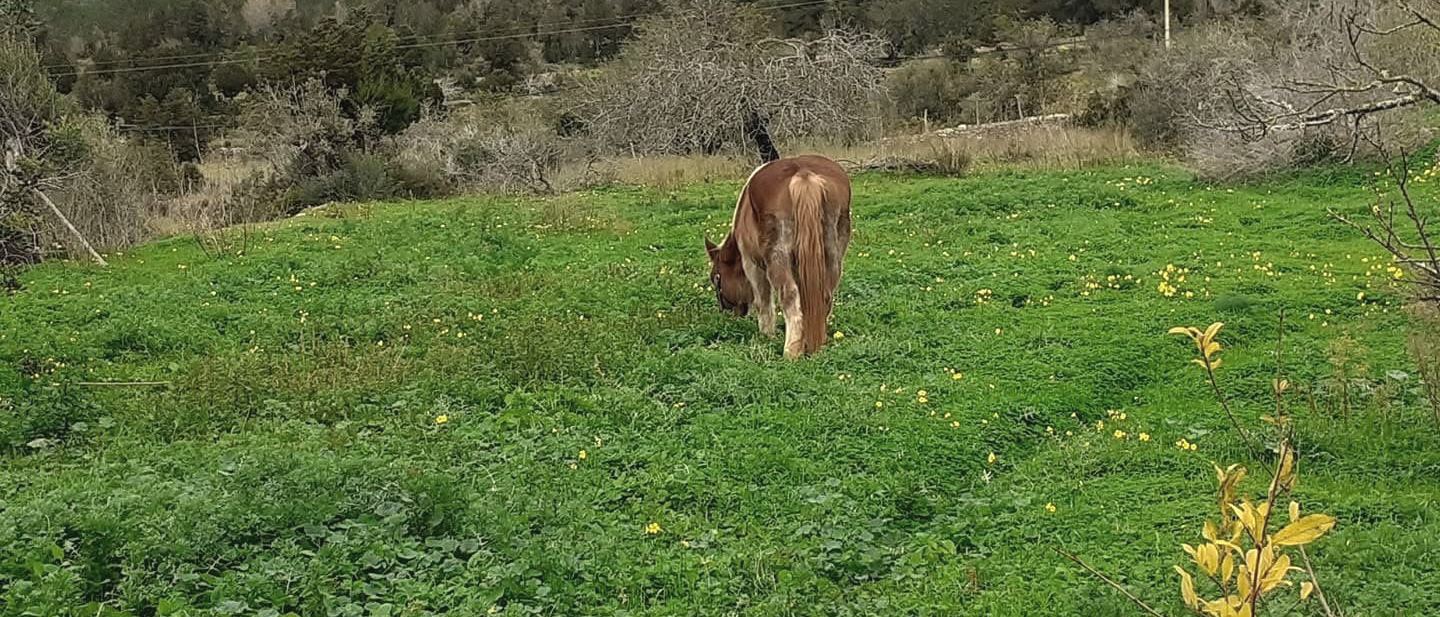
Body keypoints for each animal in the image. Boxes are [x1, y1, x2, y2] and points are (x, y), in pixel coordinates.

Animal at [705, 155, 852, 358]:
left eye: (715, 277)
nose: (726, 311)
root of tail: (803, 174)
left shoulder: (752, 264)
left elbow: (763, 302)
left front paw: (766, 335)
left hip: (777, 258)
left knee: (789, 297)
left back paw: (791, 352)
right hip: (831, 256)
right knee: (824, 295)